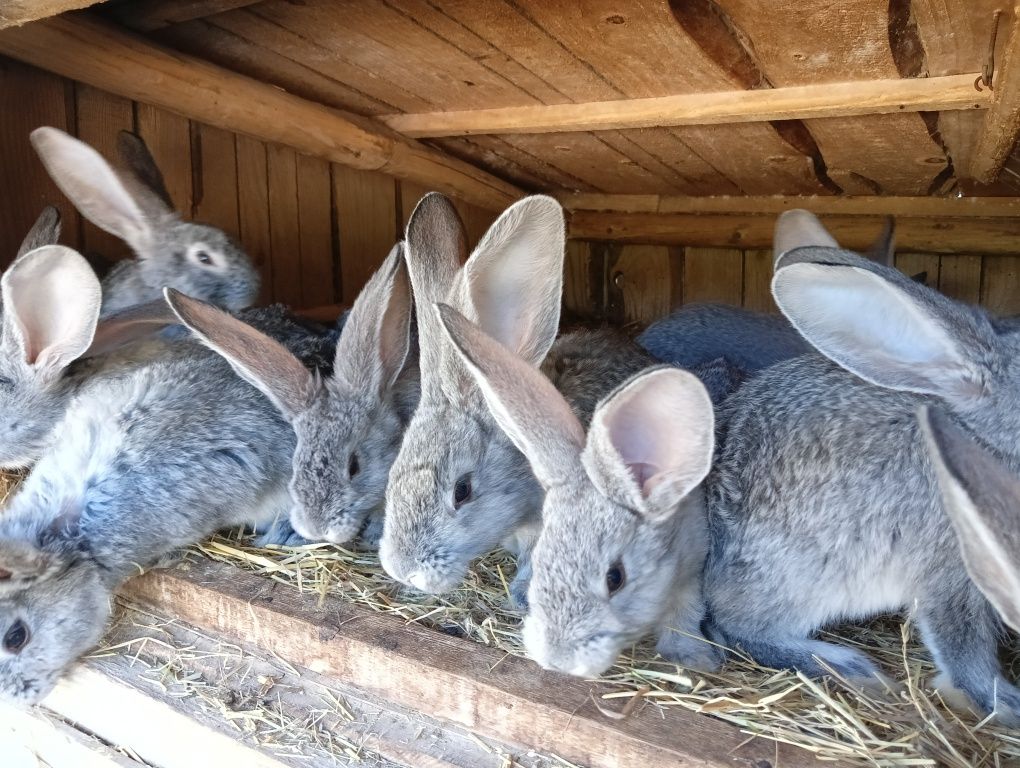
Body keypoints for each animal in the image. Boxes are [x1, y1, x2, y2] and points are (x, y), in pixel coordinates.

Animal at [438, 301, 718, 673]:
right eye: (543, 560)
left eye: (615, 578)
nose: (558, 661)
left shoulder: (691, 572)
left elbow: (685, 617)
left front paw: (692, 658)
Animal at [701, 211, 1020, 726]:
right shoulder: (954, 575)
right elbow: (964, 651)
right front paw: (1006, 705)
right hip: (802, 576)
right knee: (734, 624)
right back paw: (849, 667)